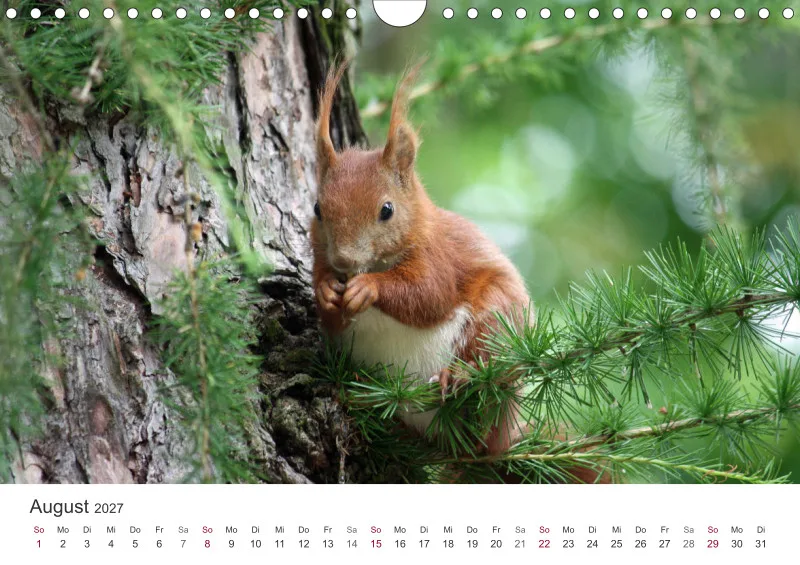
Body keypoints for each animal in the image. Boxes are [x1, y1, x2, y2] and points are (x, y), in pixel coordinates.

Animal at [310, 61, 532, 459]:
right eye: (317, 209)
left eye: (387, 210)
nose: (344, 261)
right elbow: (330, 315)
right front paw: (325, 291)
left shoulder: (437, 256)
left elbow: (429, 295)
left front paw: (368, 287)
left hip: (497, 319)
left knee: (488, 361)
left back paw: (456, 377)